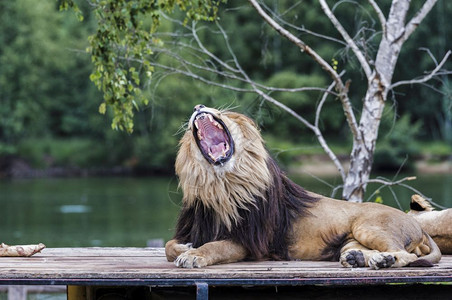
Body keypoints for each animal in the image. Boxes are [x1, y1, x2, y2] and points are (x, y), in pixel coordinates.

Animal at [164, 105, 440, 270]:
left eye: (223, 112)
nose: (199, 107)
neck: (221, 186)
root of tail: (417, 224)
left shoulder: (251, 242)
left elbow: (216, 246)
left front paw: (193, 255)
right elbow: (168, 246)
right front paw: (185, 248)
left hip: (368, 226)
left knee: (409, 256)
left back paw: (384, 261)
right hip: (350, 241)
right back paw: (361, 258)